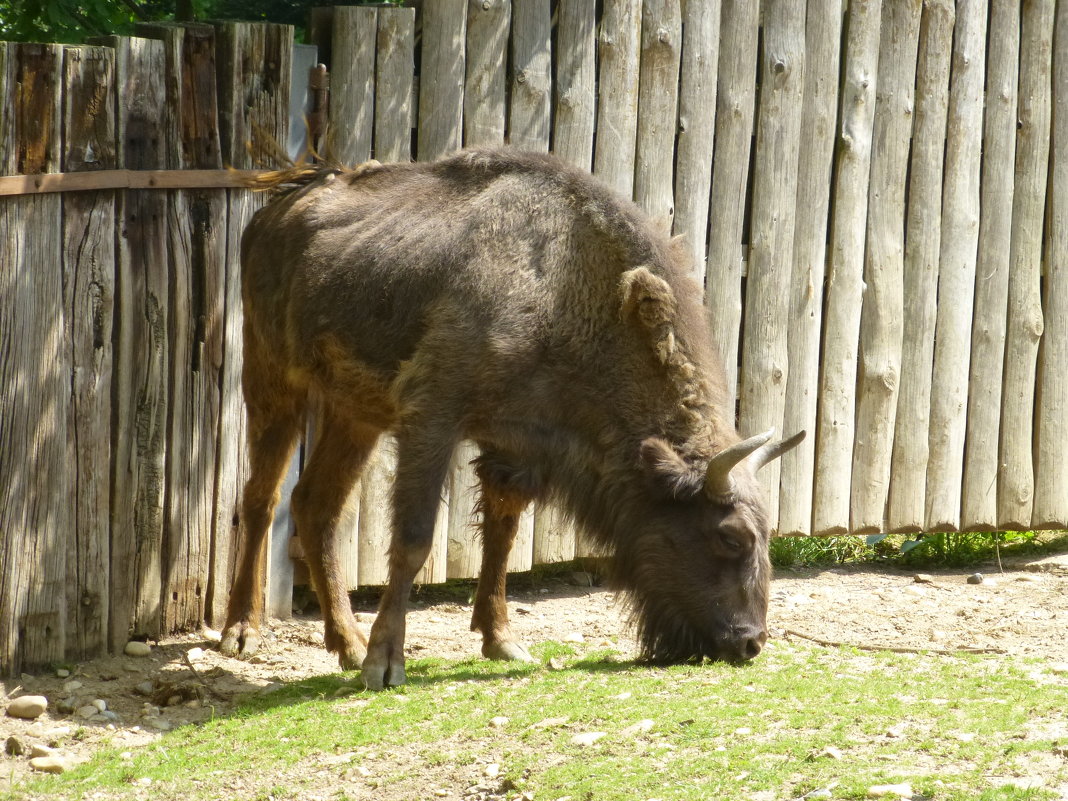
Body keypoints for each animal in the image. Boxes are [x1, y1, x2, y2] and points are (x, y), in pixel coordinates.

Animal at [223, 150, 803, 692]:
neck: (565, 289)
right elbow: (414, 539)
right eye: (730, 537)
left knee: (316, 506)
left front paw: (501, 641)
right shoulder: (431, 418)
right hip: (273, 381)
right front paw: (385, 664)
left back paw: (346, 643)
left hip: (355, 414)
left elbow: (502, 535)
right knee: (261, 497)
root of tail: (273, 213)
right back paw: (242, 633)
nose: (750, 643)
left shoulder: (514, 448)